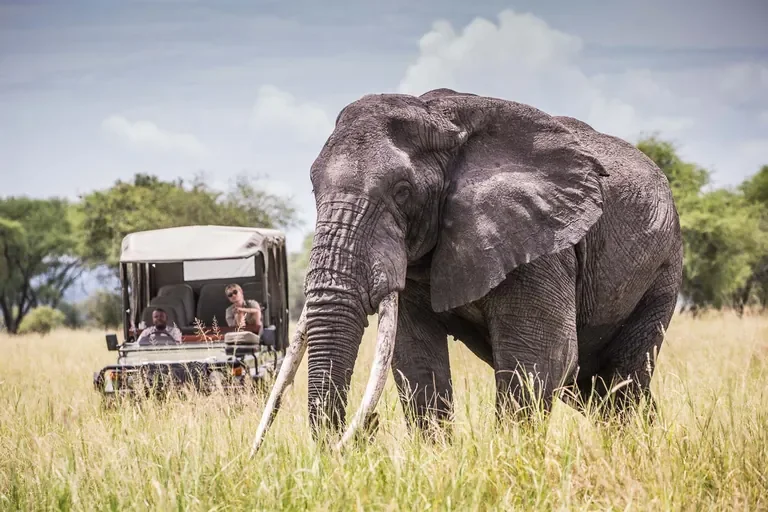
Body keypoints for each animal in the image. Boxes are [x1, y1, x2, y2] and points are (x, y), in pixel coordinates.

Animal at [250, 88, 684, 455]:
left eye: (402, 191)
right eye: (313, 188)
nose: (366, 430)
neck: (440, 120)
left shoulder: (542, 241)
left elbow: (543, 357)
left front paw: (511, 461)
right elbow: (416, 361)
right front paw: (436, 461)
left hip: (662, 268)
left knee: (620, 381)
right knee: (594, 390)